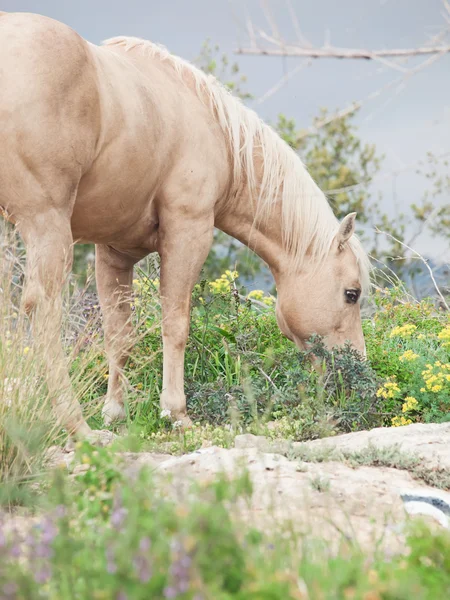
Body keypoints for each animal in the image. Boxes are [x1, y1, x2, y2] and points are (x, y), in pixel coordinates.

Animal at [0, 10, 370, 440]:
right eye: (351, 294)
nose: (357, 372)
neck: (212, 126)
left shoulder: (113, 252)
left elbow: (119, 335)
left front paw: (115, 413)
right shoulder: (187, 231)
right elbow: (175, 325)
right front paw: (176, 413)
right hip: (48, 225)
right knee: (42, 309)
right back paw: (76, 425)